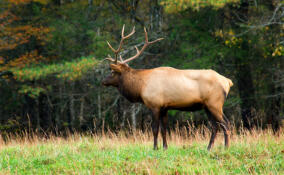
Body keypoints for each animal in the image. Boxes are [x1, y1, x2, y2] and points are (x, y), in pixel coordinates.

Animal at [102, 25, 233, 150]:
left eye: (112, 72)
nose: (103, 81)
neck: (141, 87)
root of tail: (228, 82)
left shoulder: (154, 105)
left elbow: (155, 129)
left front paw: (155, 147)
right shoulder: (164, 107)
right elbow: (164, 129)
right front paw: (165, 147)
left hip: (215, 103)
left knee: (225, 123)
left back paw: (226, 147)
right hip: (207, 106)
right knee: (215, 126)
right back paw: (209, 148)